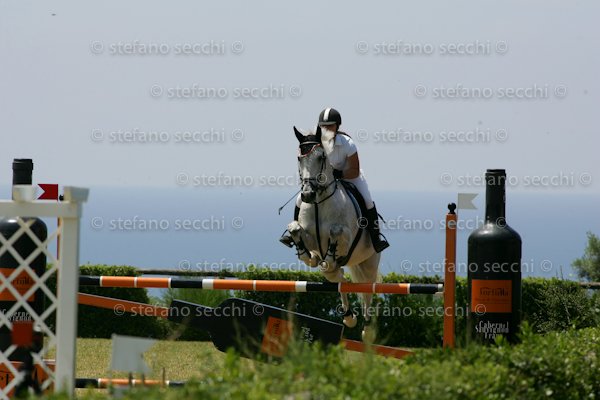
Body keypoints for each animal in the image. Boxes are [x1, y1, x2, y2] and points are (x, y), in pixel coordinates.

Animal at [286, 126, 381, 340]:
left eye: (321, 157)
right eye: (299, 158)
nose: (307, 194)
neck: (318, 204)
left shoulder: (346, 238)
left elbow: (336, 233)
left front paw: (328, 253)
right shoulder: (308, 236)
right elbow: (296, 231)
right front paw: (310, 256)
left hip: (369, 262)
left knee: (367, 290)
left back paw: (367, 329)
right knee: (338, 277)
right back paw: (349, 316)